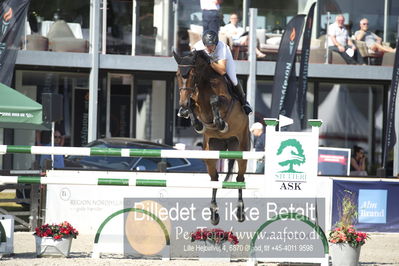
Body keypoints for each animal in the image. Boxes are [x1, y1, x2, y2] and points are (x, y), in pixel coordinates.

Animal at [174, 49, 250, 224]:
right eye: (177, 74)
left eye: (193, 74)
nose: (182, 104)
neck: (203, 84)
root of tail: (227, 142)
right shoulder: (197, 103)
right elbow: (194, 106)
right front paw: (196, 123)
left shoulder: (225, 101)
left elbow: (215, 100)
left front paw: (220, 123)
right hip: (211, 152)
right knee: (214, 179)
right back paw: (214, 213)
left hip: (242, 149)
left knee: (240, 178)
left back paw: (240, 211)